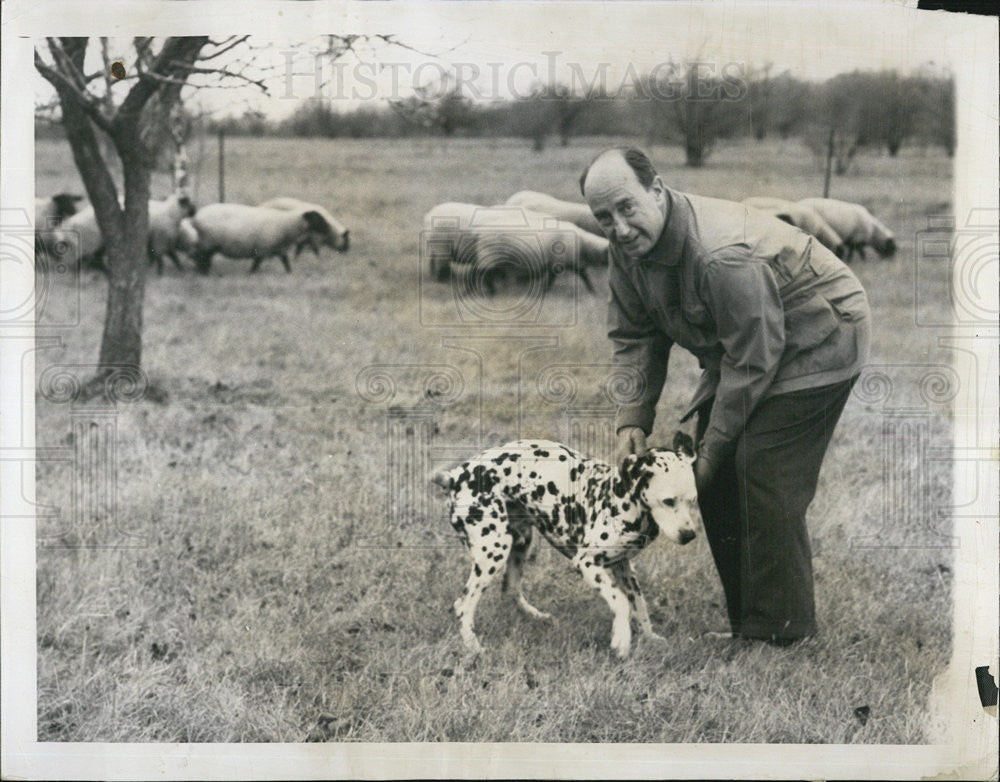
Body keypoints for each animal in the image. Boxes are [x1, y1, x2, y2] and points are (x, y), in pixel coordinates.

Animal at [187, 205, 328, 276]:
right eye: (318, 219)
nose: (327, 229)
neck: (287, 224)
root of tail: (195, 218)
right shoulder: (262, 248)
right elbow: (257, 262)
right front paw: (251, 273)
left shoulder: (279, 248)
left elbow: (285, 260)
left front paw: (289, 273)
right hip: (208, 242)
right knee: (202, 256)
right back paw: (204, 272)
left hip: (208, 243)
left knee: (201, 256)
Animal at [422, 202, 608, 298]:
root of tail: (430, 213)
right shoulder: (564, 260)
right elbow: (581, 275)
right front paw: (593, 291)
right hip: (445, 247)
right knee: (459, 269)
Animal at [432, 434, 704, 660]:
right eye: (668, 501)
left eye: (693, 500)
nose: (689, 534)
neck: (621, 497)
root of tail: (455, 476)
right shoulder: (587, 563)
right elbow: (621, 603)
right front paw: (621, 639)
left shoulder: (623, 568)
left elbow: (639, 605)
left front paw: (649, 637)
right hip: (494, 552)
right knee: (463, 606)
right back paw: (473, 647)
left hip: (519, 543)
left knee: (509, 591)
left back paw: (537, 617)